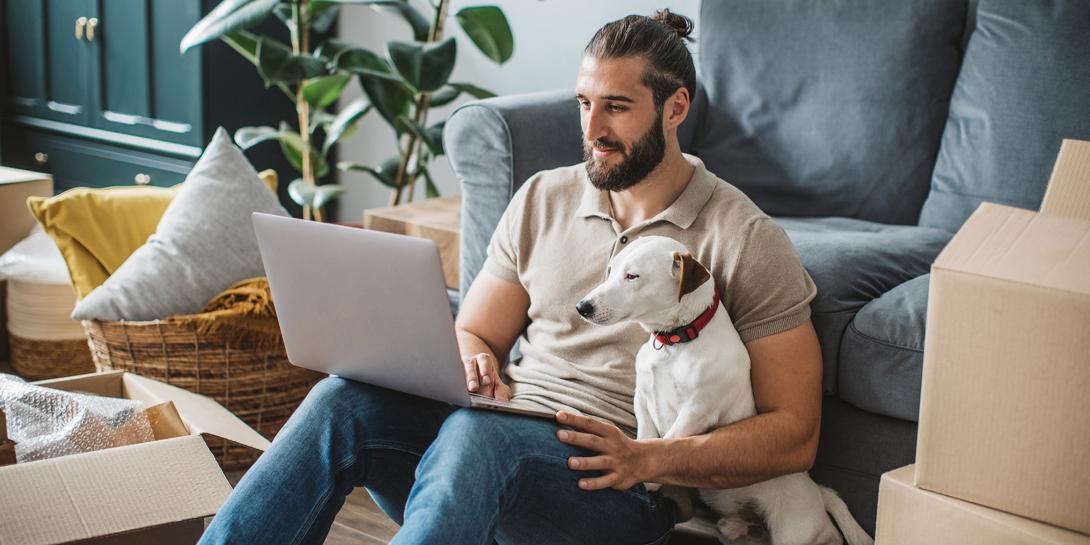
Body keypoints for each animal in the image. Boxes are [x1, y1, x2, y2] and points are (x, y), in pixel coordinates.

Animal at [575, 237, 872, 545]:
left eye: (632, 276)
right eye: (611, 270)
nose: (582, 307)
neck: (676, 341)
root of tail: (817, 492)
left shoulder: (697, 412)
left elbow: (666, 440)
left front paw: (645, 475)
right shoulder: (642, 398)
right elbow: (647, 436)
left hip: (796, 533)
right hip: (735, 533)